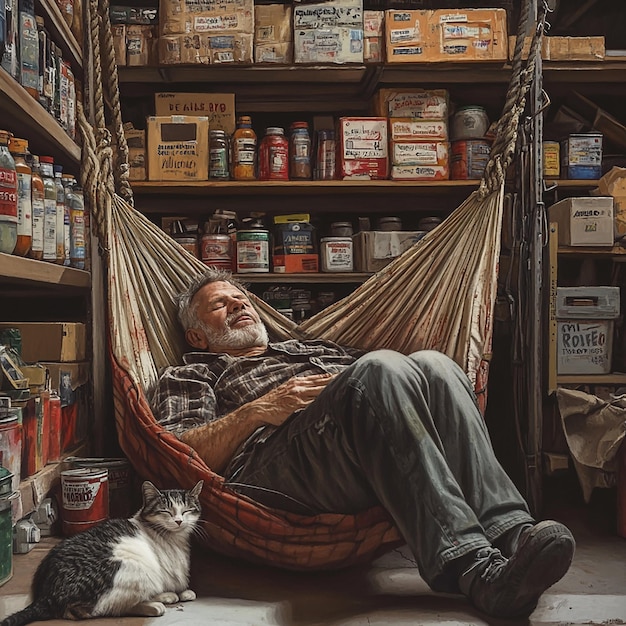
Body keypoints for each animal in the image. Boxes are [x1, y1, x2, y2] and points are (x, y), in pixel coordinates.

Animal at [0, 478, 202, 620]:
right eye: (166, 511)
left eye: (186, 511)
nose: (179, 521)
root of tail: (45, 594)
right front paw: (173, 593)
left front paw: (181, 592)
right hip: (136, 568)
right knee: (97, 609)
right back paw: (155, 604)